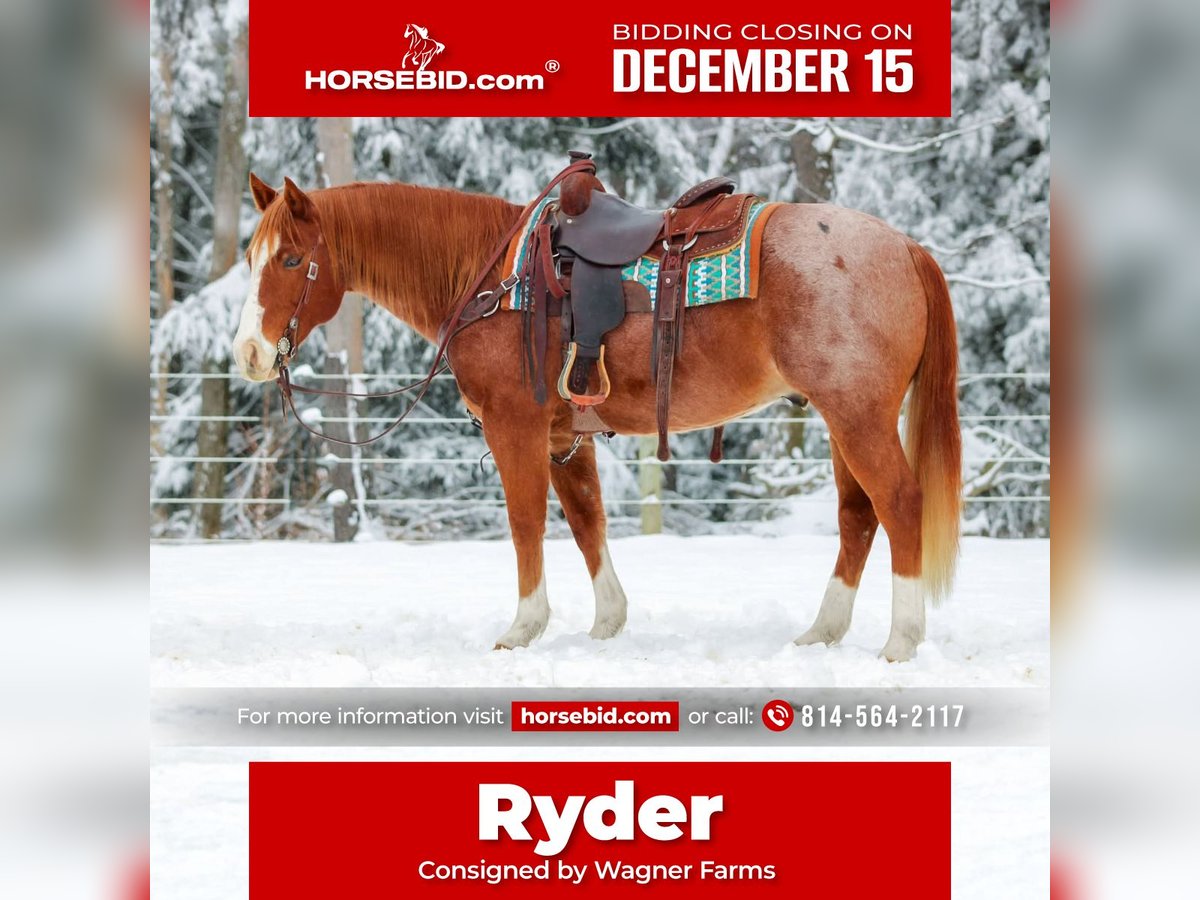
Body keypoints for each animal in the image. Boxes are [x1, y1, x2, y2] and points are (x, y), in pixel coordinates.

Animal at [232, 172, 962, 662]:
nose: (248, 353)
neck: (493, 280)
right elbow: (588, 522)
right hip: (841, 420)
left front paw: (523, 627)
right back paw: (822, 632)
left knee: (898, 502)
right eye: (250, 258)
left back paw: (901, 640)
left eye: (292, 259)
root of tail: (905, 247)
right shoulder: (565, 437)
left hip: (858, 416)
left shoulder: (516, 427)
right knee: (857, 516)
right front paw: (607, 620)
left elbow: (526, 523)